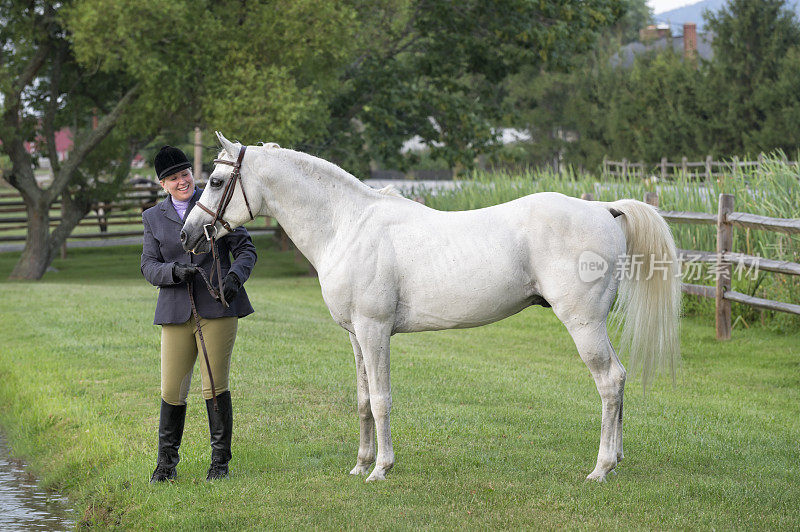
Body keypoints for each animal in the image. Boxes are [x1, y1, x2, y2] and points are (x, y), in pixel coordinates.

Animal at [183, 133, 680, 482]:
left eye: (217, 181)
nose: (189, 235)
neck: (348, 225)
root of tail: (605, 209)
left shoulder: (375, 331)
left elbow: (381, 399)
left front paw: (381, 469)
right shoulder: (355, 336)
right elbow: (362, 400)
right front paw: (360, 464)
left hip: (584, 324)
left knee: (610, 381)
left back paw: (601, 468)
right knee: (618, 380)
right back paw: (615, 460)